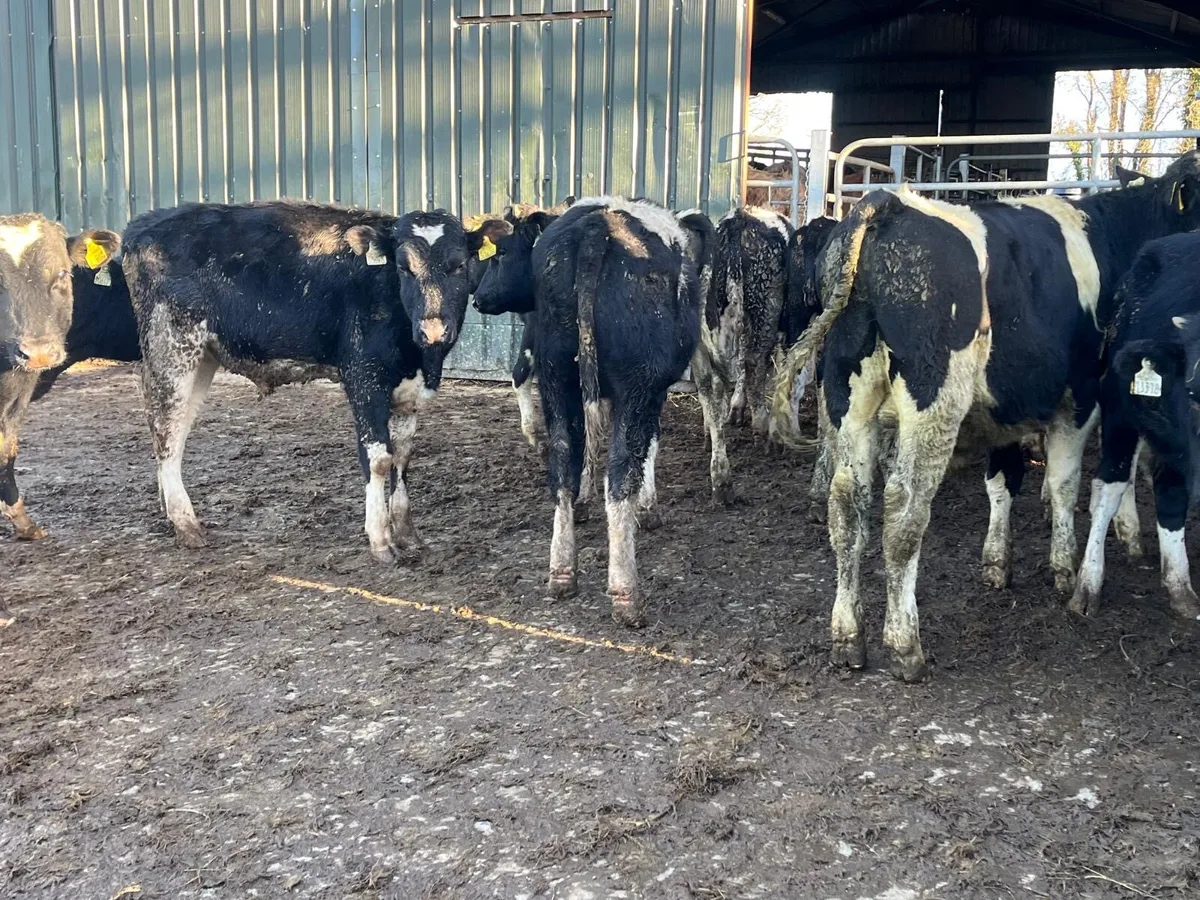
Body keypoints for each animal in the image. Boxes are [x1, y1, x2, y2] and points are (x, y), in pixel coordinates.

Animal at [121, 200, 511, 561]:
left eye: (458, 264)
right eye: (404, 267)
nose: (433, 330)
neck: (419, 356)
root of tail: (144, 225)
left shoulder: (408, 392)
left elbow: (401, 457)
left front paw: (406, 533)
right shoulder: (364, 378)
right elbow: (378, 459)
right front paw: (381, 540)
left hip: (203, 356)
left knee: (174, 427)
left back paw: (170, 513)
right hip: (172, 345)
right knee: (167, 431)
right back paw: (185, 524)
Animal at [474, 196, 712, 625]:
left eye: (500, 255)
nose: (478, 298)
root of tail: (595, 229)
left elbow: (588, 441)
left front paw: (584, 497)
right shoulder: (650, 390)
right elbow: (645, 448)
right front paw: (648, 508)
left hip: (557, 375)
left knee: (562, 459)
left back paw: (561, 571)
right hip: (637, 382)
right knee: (620, 473)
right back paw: (626, 592)